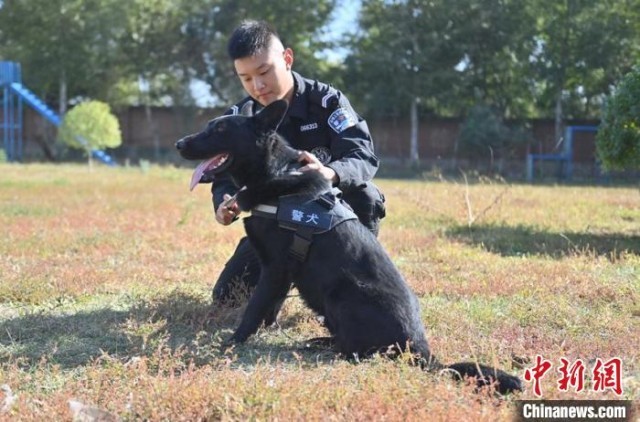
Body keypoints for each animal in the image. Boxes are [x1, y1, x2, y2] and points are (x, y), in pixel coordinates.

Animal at [175, 100, 520, 394]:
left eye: (220, 129)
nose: (179, 144)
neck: (277, 177)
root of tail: (421, 350)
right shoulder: (278, 272)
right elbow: (268, 308)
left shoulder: (275, 269)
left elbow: (254, 309)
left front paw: (233, 342)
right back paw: (316, 341)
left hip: (342, 294)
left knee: (357, 351)